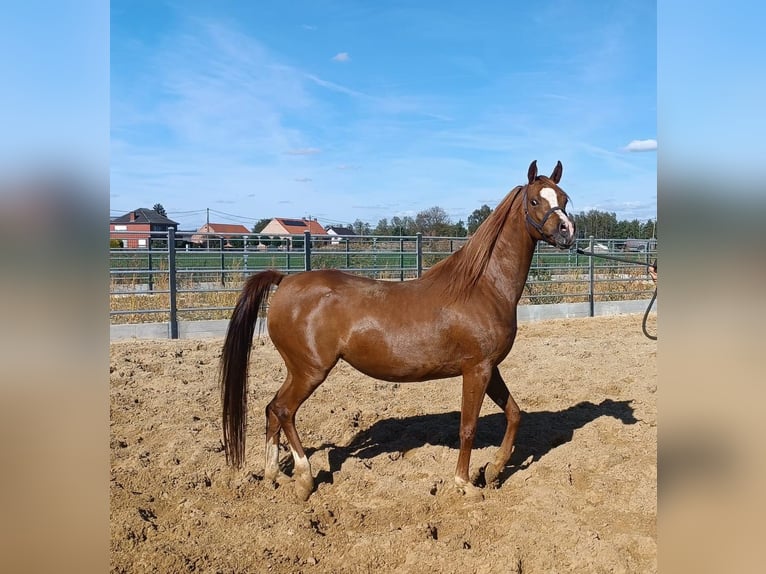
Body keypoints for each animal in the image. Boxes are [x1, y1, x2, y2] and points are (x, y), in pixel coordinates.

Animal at [220, 160, 576, 500]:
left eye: (563, 199)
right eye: (535, 200)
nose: (567, 231)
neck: (482, 286)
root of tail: (285, 281)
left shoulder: (490, 367)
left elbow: (514, 414)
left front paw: (493, 470)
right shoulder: (477, 369)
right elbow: (468, 427)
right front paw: (464, 484)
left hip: (298, 371)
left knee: (272, 410)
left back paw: (273, 475)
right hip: (309, 371)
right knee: (284, 410)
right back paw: (305, 478)